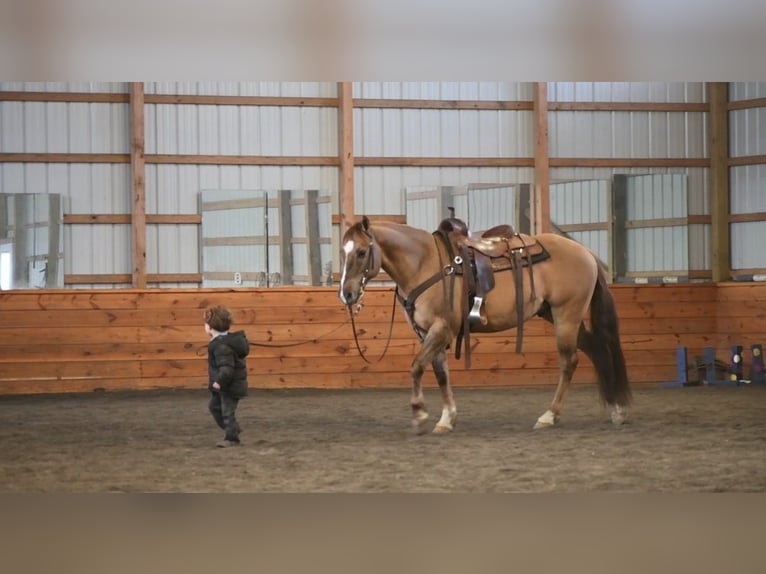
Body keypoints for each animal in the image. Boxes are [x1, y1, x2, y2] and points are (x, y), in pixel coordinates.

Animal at [340, 217, 632, 436]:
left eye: (362, 252)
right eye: (343, 252)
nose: (347, 294)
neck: (425, 263)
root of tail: (586, 253)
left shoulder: (441, 329)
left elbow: (416, 366)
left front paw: (420, 415)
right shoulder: (428, 333)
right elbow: (440, 373)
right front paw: (447, 419)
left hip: (566, 316)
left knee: (569, 362)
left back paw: (550, 416)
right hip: (558, 316)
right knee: (596, 350)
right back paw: (615, 410)